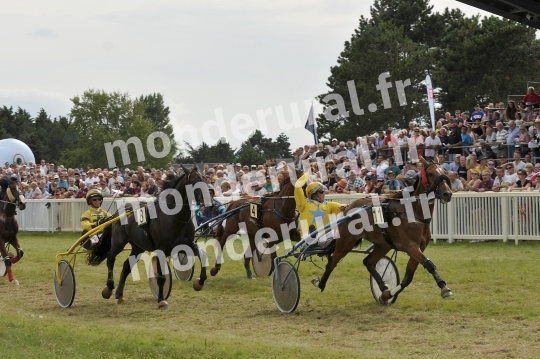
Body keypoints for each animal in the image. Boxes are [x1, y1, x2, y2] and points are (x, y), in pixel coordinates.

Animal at [87, 165, 208, 310]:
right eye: (194, 182)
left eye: (204, 179)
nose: (207, 201)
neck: (174, 218)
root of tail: (120, 211)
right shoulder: (161, 249)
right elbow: (161, 277)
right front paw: (161, 301)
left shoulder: (187, 244)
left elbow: (202, 255)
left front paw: (200, 282)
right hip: (118, 242)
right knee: (110, 258)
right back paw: (109, 288)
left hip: (138, 247)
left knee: (126, 266)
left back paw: (120, 294)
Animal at [312, 158, 456, 304]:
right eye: (431, 174)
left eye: (444, 172)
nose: (447, 194)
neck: (413, 213)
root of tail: (348, 208)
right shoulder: (411, 247)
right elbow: (429, 264)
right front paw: (444, 287)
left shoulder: (419, 247)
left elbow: (408, 277)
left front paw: (386, 295)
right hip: (346, 242)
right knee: (332, 262)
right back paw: (321, 283)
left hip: (383, 245)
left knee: (368, 262)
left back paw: (383, 286)